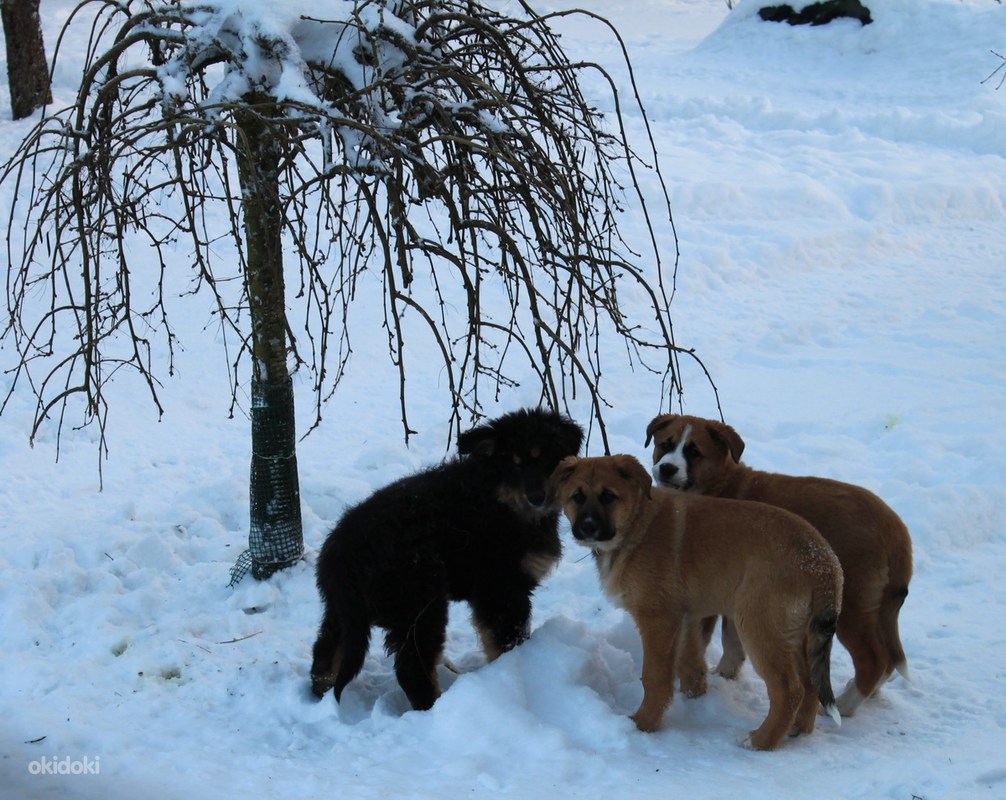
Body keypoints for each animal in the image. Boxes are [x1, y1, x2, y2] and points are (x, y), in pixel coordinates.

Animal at [309, 410, 587, 708]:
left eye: (544, 459)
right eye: (514, 467)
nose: (536, 498)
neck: (499, 499)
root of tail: (342, 557)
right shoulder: (500, 589)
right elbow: (508, 640)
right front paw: (516, 667)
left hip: (342, 611)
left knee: (324, 653)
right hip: (419, 604)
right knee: (411, 668)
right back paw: (434, 706)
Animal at [555, 456, 845, 752]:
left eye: (608, 496)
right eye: (577, 497)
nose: (588, 527)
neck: (638, 524)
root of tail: (824, 564)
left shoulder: (658, 619)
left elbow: (654, 677)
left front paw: (643, 723)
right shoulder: (687, 618)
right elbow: (690, 660)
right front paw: (694, 694)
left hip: (760, 628)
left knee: (789, 690)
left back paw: (761, 741)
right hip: (795, 633)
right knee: (810, 685)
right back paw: (798, 730)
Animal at [643, 416, 913, 716]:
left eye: (693, 452)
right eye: (664, 444)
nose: (666, 468)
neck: (720, 484)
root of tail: (896, 532)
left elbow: (702, 640)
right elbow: (732, 639)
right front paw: (726, 673)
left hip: (853, 602)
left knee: (874, 659)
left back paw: (844, 705)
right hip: (876, 606)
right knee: (887, 658)